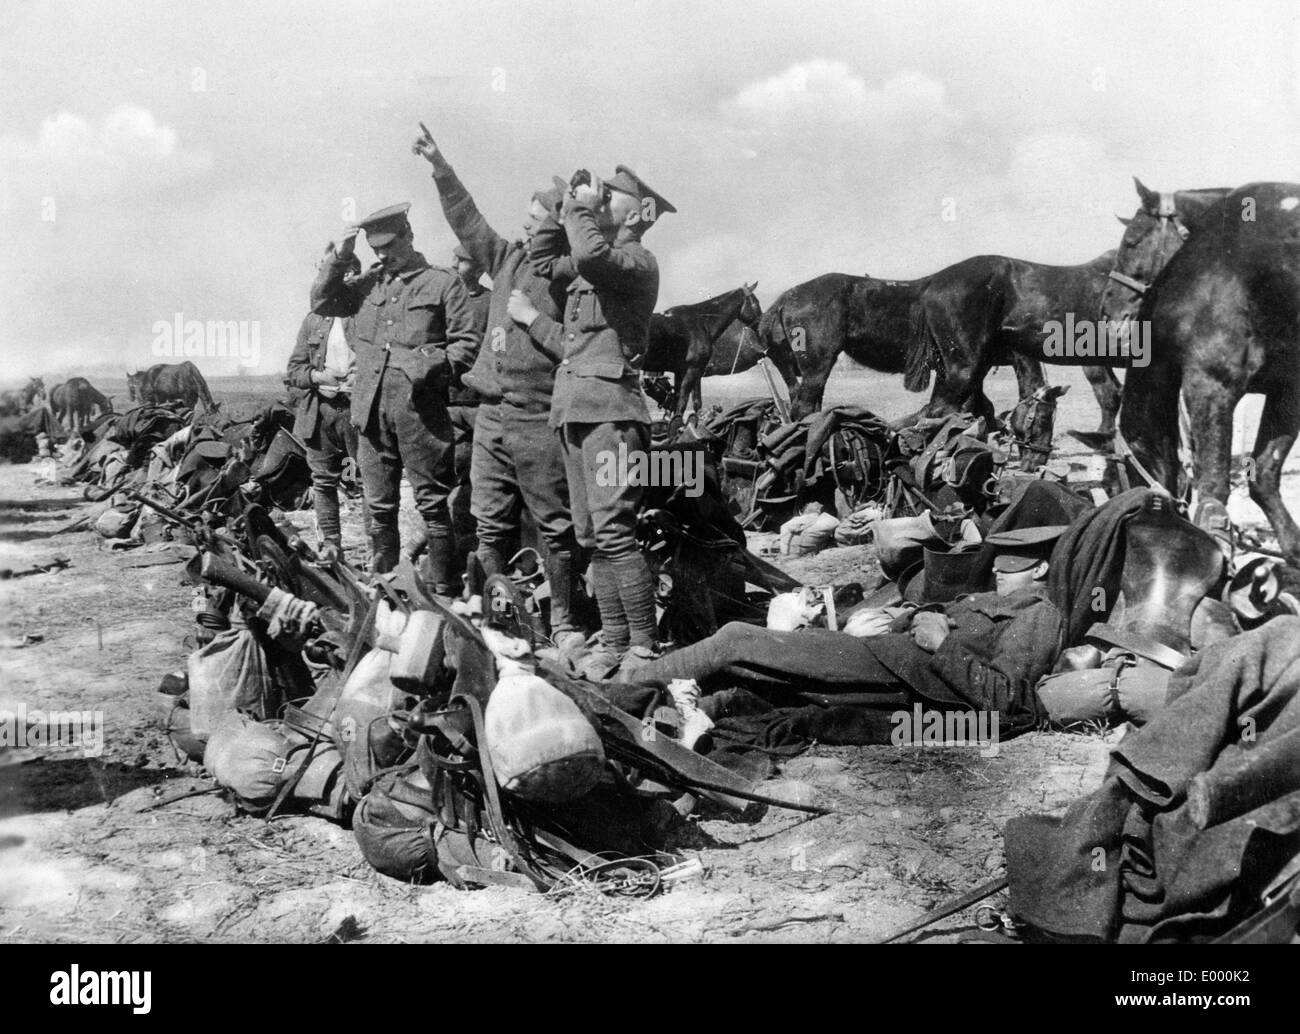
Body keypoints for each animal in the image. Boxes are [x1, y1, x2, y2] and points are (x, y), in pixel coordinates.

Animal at [647, 283, 764, 421]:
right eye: (755, 302)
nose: (762, 325)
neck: (701, 323)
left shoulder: (687, 371)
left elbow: (686, 401)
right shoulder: (692, 370)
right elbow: (684, 402)